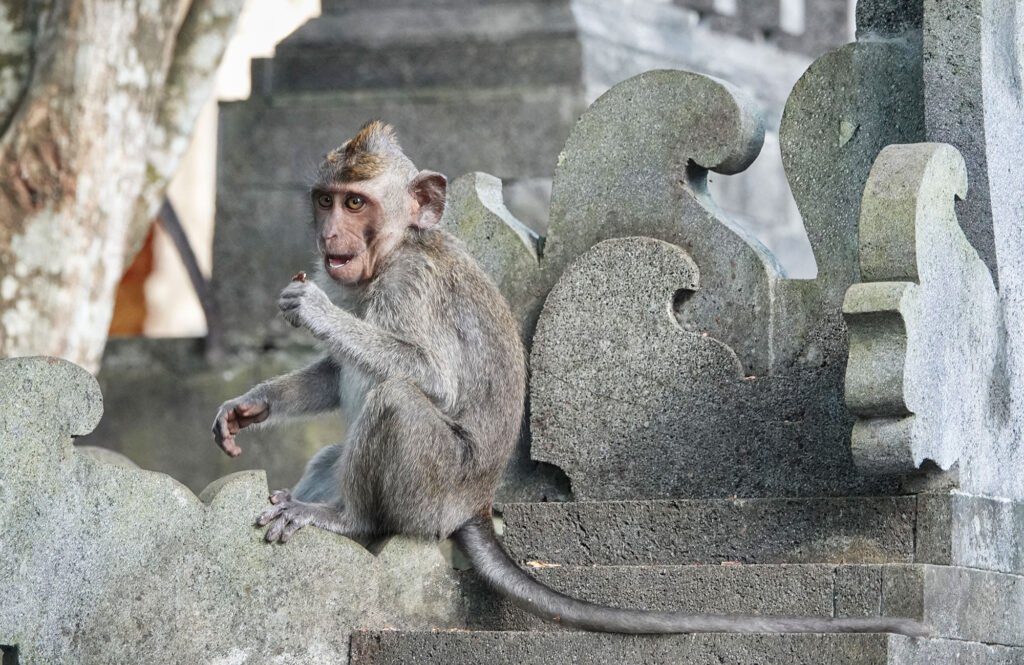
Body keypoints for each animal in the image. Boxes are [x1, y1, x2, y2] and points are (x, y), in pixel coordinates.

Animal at [211, 120, 930, 637]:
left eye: (356, 201)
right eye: (326, 200)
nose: (331, 233)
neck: (392, 251)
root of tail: (475, 504)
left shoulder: (410, 285)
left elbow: (432, 378)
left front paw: (315, 310)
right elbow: (336, 374)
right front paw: (251, 404)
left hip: (434, 487)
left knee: (394, 401)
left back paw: (345, 519)